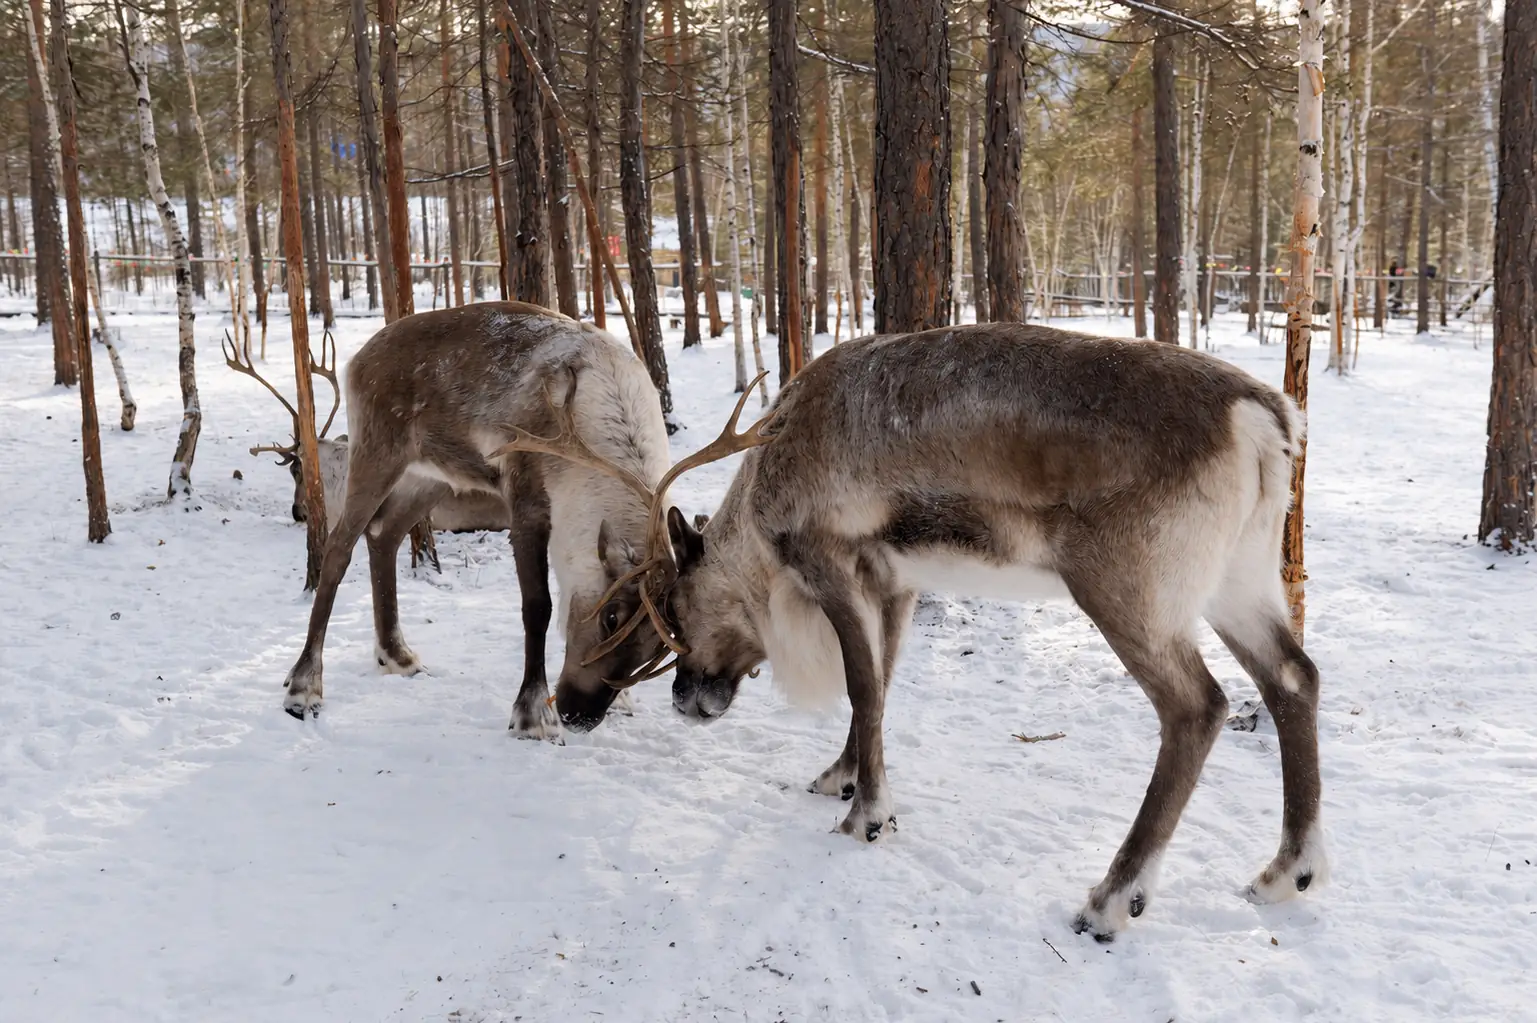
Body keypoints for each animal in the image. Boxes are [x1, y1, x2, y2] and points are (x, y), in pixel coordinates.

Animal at [226, 302, 674, 736]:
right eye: (611, 615)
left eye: (656, 648)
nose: (580, 715)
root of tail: (358, 358)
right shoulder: (525, 497)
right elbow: (538, 606)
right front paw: (532, 715)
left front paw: (622, 701)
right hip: (378, 450)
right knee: (338, 549)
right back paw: (304, 688)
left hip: (431, 476)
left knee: (384, 534)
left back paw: (397, 654)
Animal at [540, 322, 1325, 943]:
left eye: (674, 609)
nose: (683, 699)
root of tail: (1265, 418)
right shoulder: (896, 582)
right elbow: (881, 684)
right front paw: (842, 776)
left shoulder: (829, 562)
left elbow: (861, 683)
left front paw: (866, 815)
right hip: (1240, 579)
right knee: (1294, 677)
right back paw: (1288, 871)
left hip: (1128, 590)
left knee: (1198, 706)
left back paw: (1110, 899)